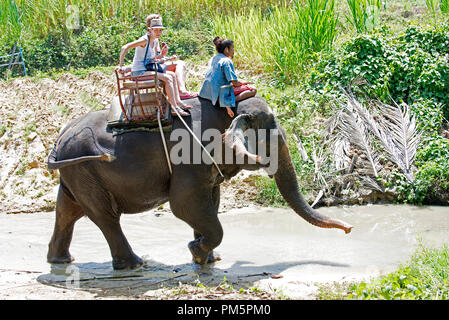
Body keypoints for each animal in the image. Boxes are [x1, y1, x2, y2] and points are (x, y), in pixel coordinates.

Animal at [47, 95, 352, 270]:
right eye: (271, 144)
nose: (350, 229)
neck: (227, 110)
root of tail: (59, 138)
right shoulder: (190, 156)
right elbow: (184, 205)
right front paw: (197, 253)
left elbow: (210, 204)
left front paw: (207, 257)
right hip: (84, 169)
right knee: (105, 216)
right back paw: (134, 265)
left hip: (78, 173)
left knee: (67, 210)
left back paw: (61, 261)